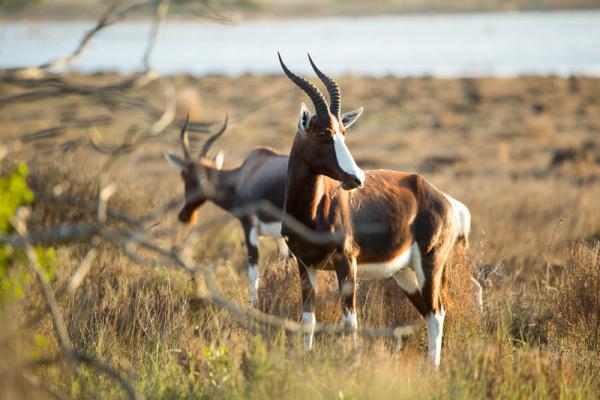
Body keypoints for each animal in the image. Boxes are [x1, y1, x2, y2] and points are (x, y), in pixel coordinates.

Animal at [165, 117, 292, 304]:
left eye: (184, 174)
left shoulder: (249, 227)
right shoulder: (279, 237)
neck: (244, 175)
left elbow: (253, 271)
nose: (184, 215)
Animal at [278, 54, 472, 368]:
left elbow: (350, 320)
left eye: (344, 132)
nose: (356, 178)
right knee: (429, 313)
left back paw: (433, 368)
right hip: (405, 274)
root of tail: (445, 200)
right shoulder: (305, 264)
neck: (314, 209)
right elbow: (308, 319)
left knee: (437, 312)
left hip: (430, 265)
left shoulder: (347, 263)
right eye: (324, 132)